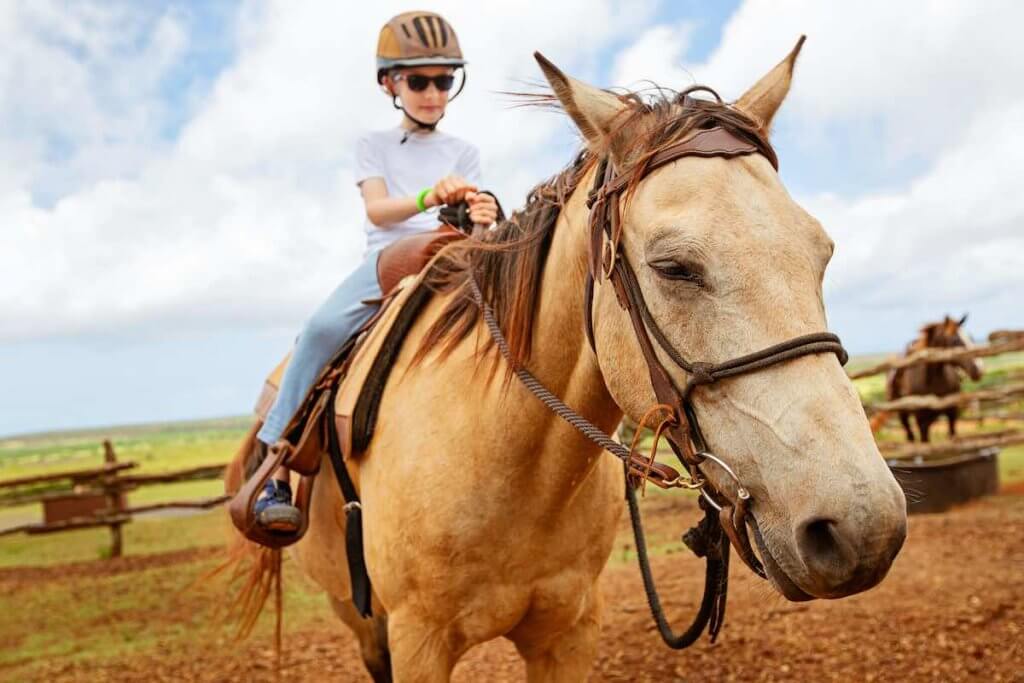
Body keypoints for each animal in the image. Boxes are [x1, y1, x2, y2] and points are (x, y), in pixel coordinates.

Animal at [222, 40, 905, 679]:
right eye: (673, 266)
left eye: (821, 253)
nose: (863, 527)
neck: (508, 464)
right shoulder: (418, 640)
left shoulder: (569, 631)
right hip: (359, 617)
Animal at [888, 315, 983, 444]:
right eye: (955, 340)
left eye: (971, 337)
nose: (979, 368)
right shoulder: (921, 420)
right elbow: (925, 441)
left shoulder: (952, 412)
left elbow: (952, 435)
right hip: (903, 414)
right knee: (910, 434)